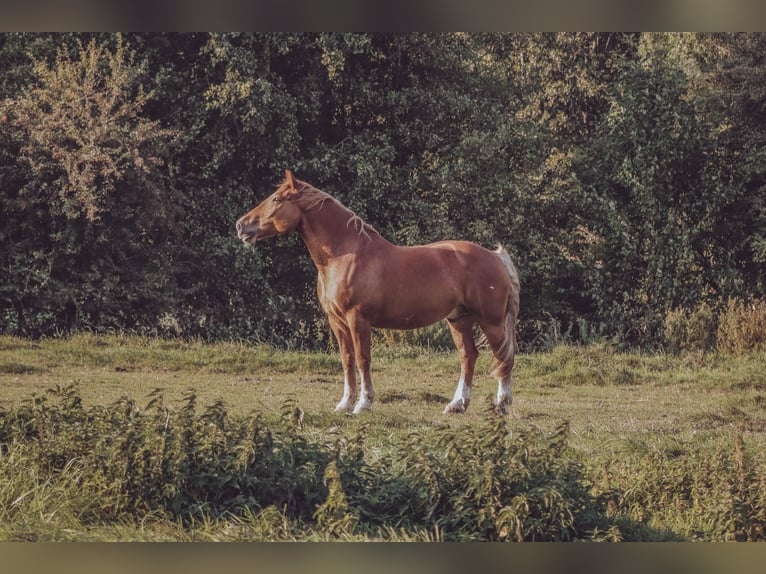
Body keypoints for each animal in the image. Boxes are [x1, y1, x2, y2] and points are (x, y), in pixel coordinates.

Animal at [236, 170, 520, 415]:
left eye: (276, 199)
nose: (241, 226)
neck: (345, 255)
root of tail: (495, 256)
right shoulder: (337, 321)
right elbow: (347, 360)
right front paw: (344, 404)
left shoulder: (358, 320)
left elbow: (363, 360)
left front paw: (363, 404)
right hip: (459, 320)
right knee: (468, 356)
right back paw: (457, 405)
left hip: (491, 322)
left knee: (503, 357)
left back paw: (502, 404)